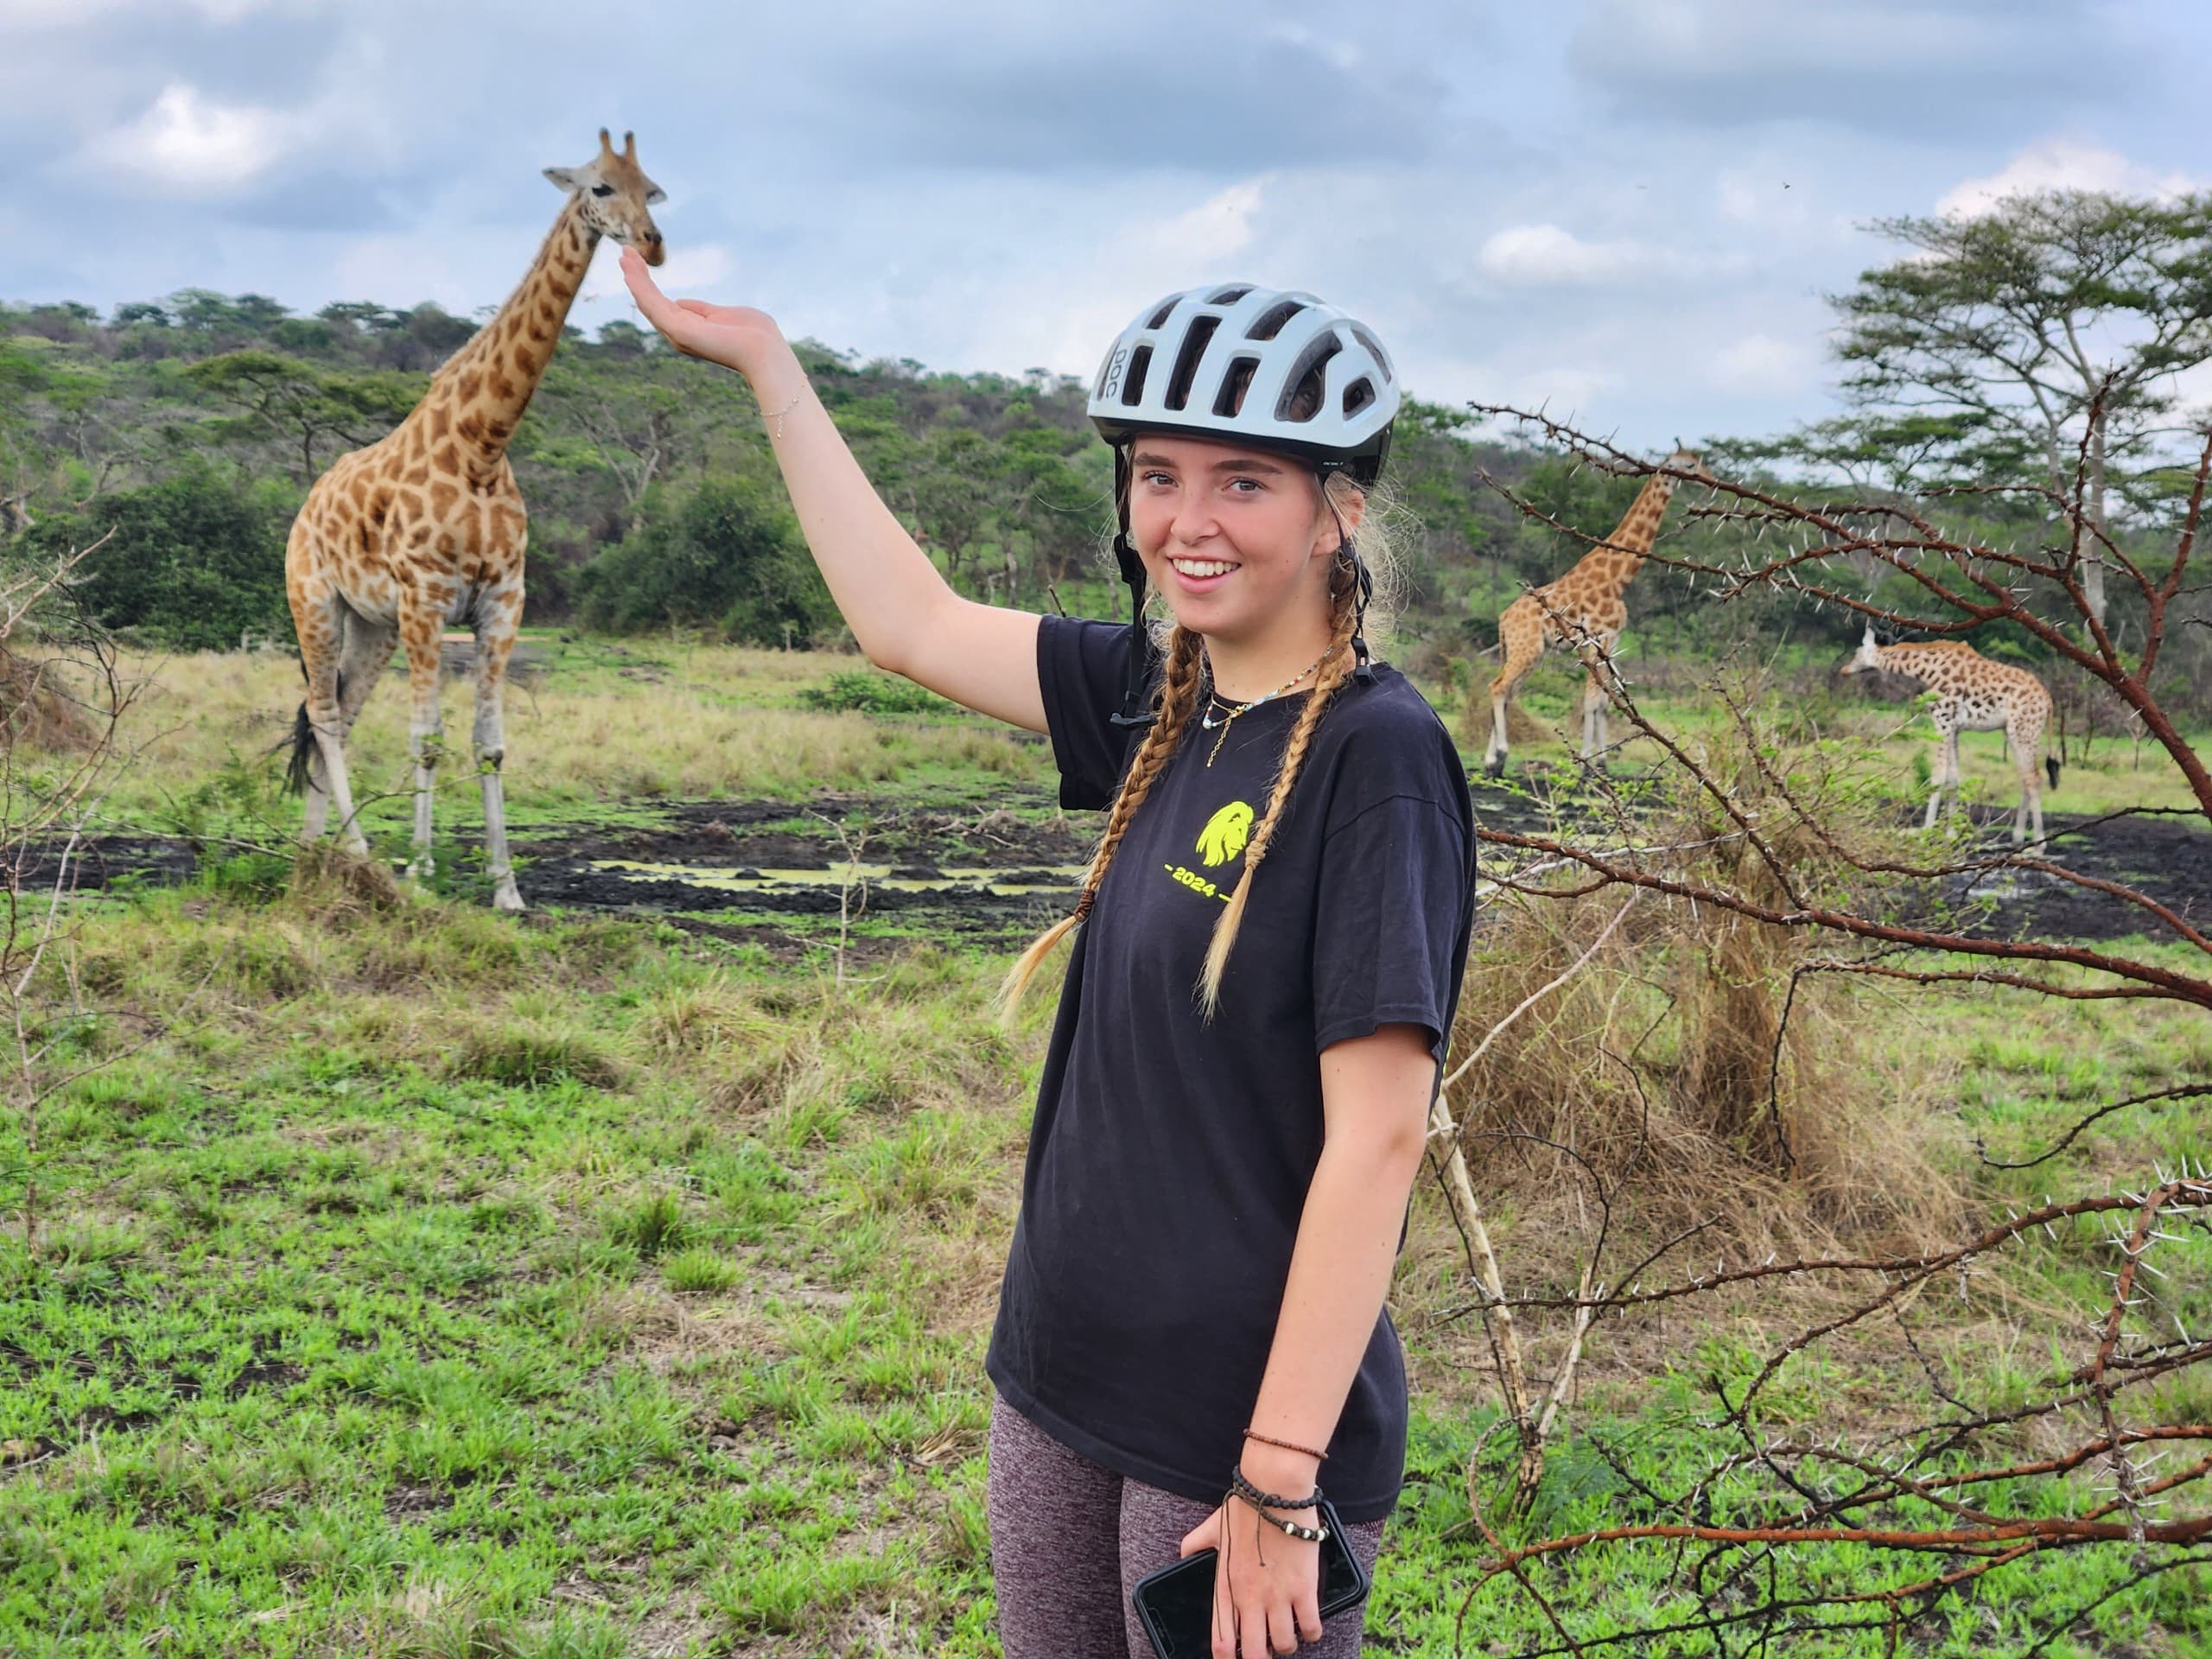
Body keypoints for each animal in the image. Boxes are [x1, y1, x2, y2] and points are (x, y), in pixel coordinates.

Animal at [285, 128, 664, 911]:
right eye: (600, 187)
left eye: (654, 190)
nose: (652, 242)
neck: (482, 446)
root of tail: (306, 507)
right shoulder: (427, 598)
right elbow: (426, 738)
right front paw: (421, 874)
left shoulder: (503, 601)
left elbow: (488, 742)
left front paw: (506, 888)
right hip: (315, 601)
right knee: (327, 715)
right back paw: (360, 853)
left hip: (370, 624)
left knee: (338, 713)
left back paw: (314, 853)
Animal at [1478, 444, 1699, 779]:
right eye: (1689, 466)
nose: (1709, 479)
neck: (1618, 578)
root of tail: (1503, 618)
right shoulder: (1599, 637)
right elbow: (1593, 701)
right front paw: (1588, 765)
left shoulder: (1612, 642)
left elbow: (1606, 702)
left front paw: (1602, 763)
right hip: (1527, 648)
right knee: (1498, 687)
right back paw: (1500, 755)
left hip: (1525, 650)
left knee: (1508, 691)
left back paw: (1493, 763)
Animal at [1831, 628, 2052, 849]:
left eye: (1857, 652)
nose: (1844, 670)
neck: (1925, 669)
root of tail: (2048, 701)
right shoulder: (1954, 728)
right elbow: (1953, 778)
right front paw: (1951, 834)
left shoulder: (1943, 721)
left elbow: (1938, 775)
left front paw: (1926, 831)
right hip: (2012, 731)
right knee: (2025, 776)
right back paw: (2018, 839)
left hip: (2025, 729)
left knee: (2034, 777)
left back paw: (2039, 844)